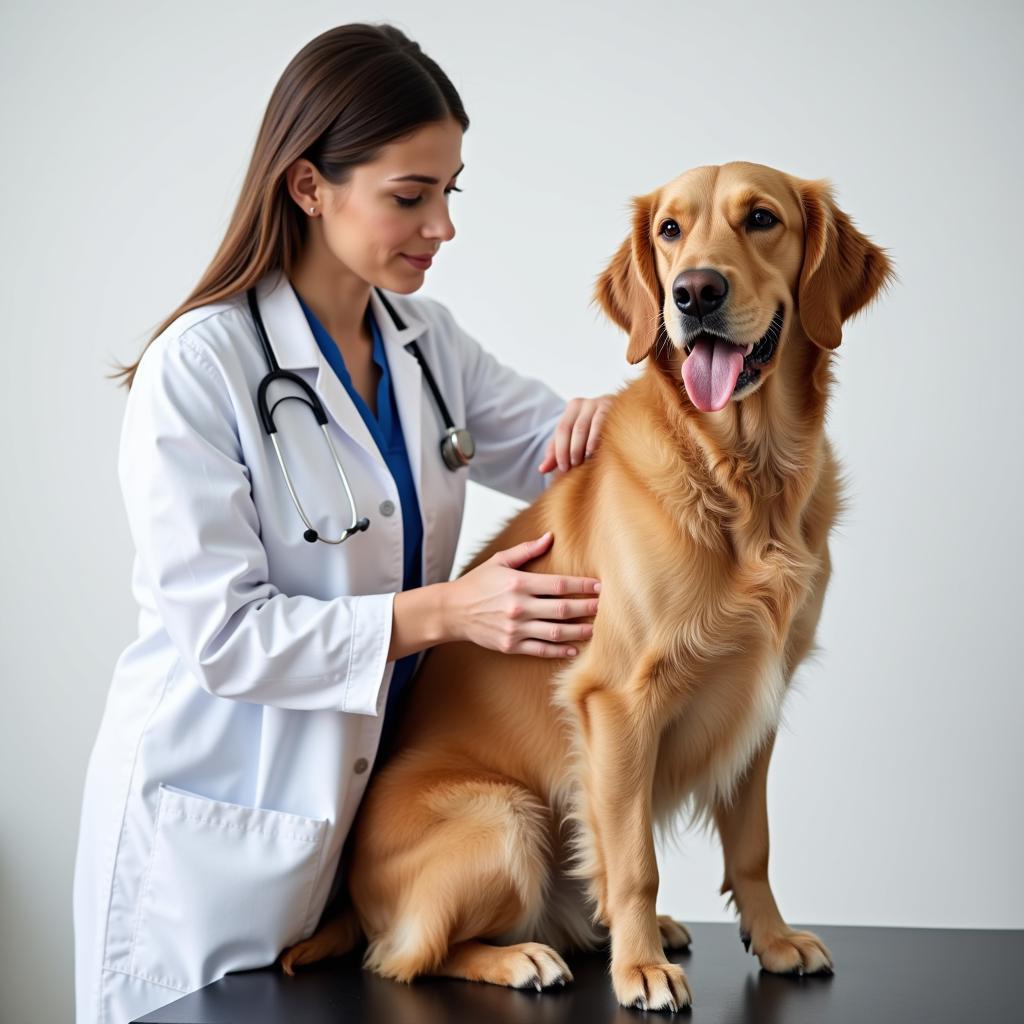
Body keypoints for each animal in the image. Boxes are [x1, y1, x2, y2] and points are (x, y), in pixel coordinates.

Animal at [282, 163, 897, 1011]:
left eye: (762, 218)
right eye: (670, 230)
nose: (694, 293)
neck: (744, 478)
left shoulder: (758, 703)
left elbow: (753, 848)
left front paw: (772, 941)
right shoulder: (617, 701)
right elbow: (635, 861)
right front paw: (640, 971)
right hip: (509, 817)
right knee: (404, 955)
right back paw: (525, 957)